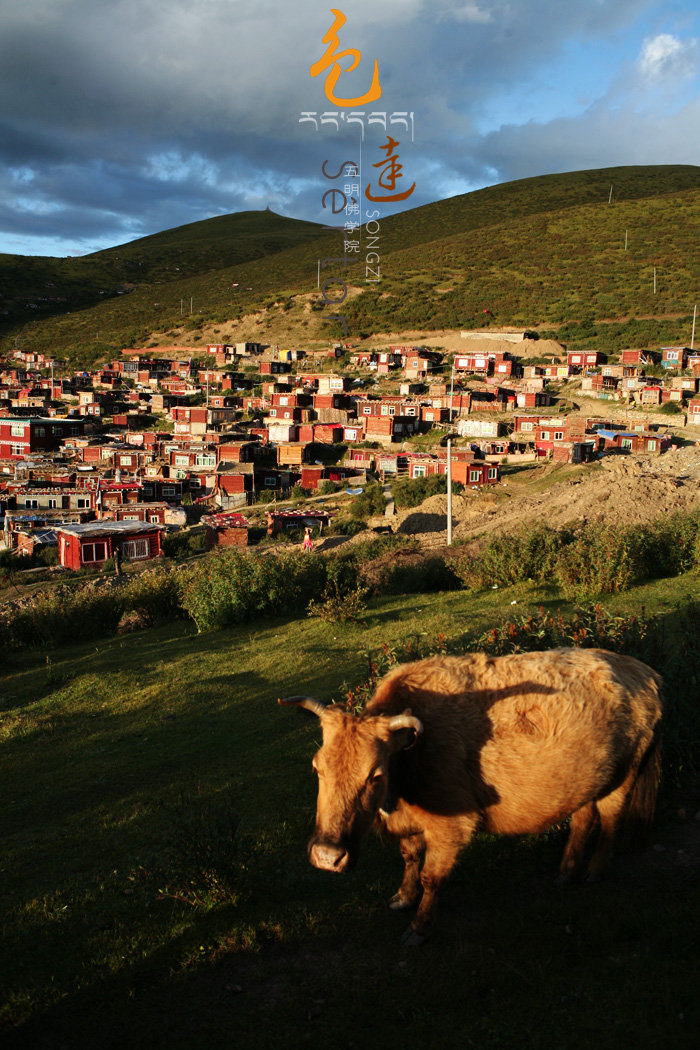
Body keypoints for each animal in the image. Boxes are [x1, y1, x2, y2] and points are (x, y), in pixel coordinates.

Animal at [281, 646, 663, 944]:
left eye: (375, 775)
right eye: (317, 767)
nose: (328, 856)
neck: (409, 762)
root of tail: (641, 670)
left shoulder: (451, 827)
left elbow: (430, 876)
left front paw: (420, 926)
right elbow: (409, 857)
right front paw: (403, 897)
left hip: (624, 774)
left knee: (610, 818)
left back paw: (594, 871)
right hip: (584, 780)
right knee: (583, 818)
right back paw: (566, 871)